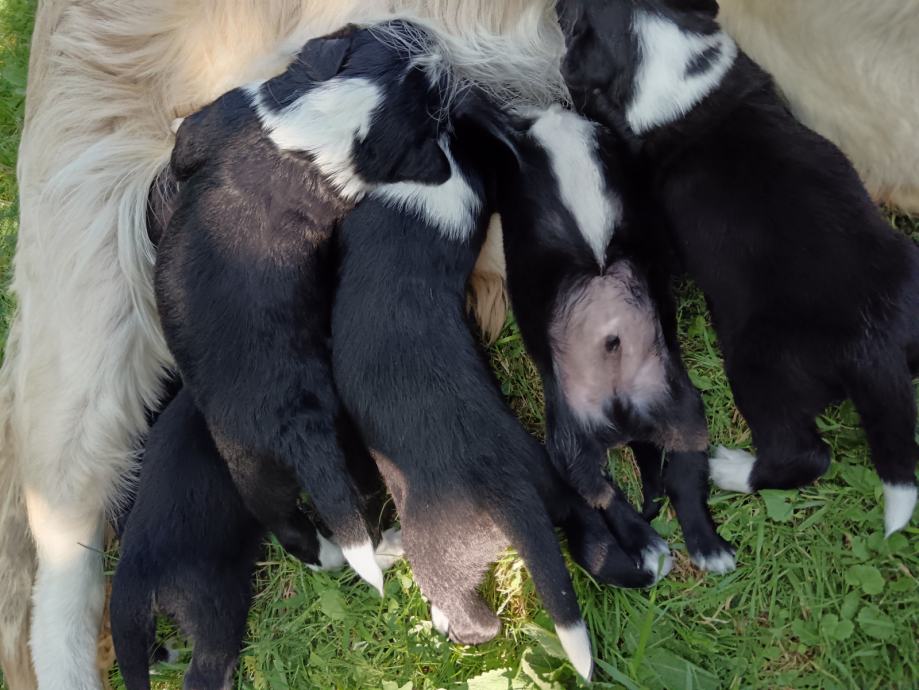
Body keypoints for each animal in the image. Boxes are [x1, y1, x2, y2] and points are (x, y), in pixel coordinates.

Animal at [494, 103, 734, 572]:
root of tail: (623, 414)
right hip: (629, 422)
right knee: (638, 486)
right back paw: (682, 547)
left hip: (624, 424)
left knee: (641, 488)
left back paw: (670, 547)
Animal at [556, 0, 919, 536]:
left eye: (574, 17)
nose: (553, 8)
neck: (674, 62)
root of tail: (876, 344)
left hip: (759, 366)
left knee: (804, 455)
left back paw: (728, 469)